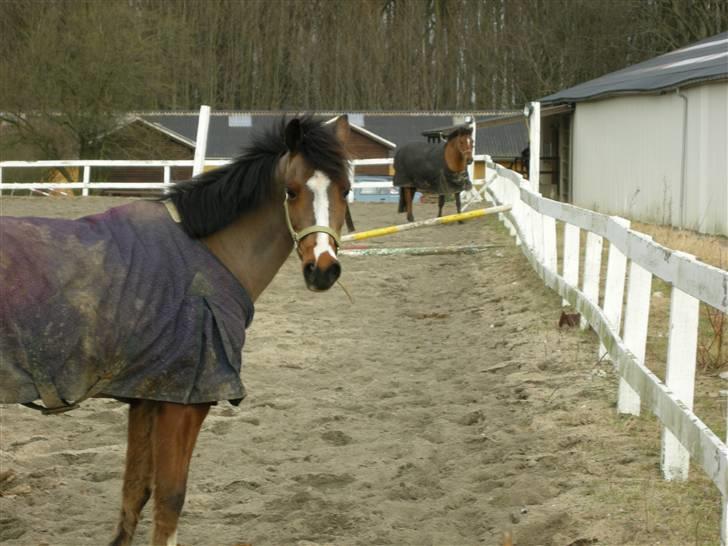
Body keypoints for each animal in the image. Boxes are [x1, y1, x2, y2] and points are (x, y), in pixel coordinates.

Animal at [0, 115, 352, 546]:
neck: (208, 254)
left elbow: (135, 490)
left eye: (346, 190)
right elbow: (170, 497)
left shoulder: (148, 395)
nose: (323, 270)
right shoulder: (183, 403)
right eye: (292, 190)